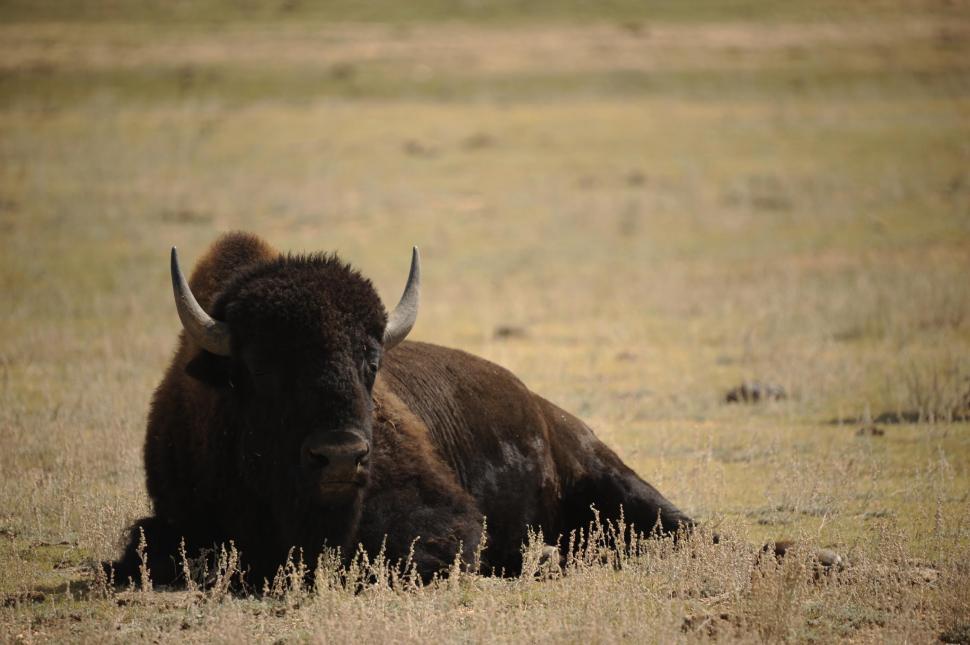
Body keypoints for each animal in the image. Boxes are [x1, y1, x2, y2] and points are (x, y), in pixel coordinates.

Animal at [108, 232, 695, 586]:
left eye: (371, 363)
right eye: (259, 368)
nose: (340, 457)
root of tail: (541, 406)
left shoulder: (442, 516)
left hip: (613, 477)